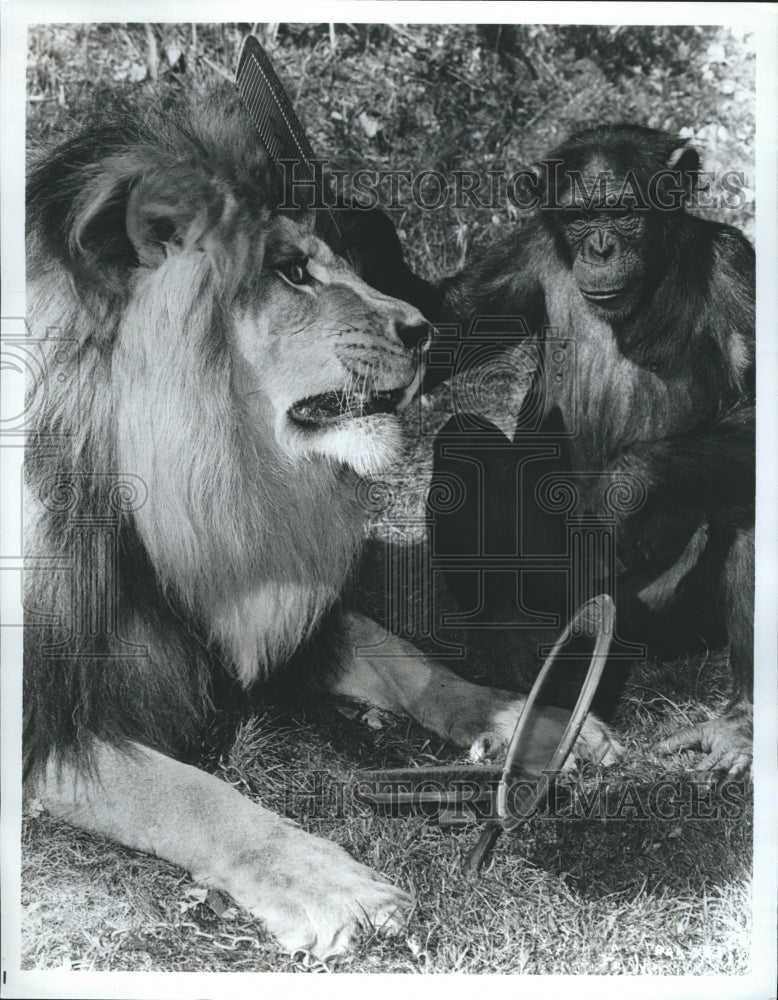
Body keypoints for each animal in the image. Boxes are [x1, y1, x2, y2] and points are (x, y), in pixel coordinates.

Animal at [24, 88, 616, 960]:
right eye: (291, 270)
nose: (425, 329)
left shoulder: (283, 611)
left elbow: (410, 661)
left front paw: (530, 722)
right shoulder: (44, 717)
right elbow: (185, 791)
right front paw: (331, 885)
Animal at [346, 125, 752, 776]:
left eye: (624, 211)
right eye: (581, 216)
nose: (602, 248)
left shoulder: (738, 270)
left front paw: (628, 485)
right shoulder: (525, 256)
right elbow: (441, 336)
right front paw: (353, 224)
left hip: (663, 617)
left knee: (743, 497)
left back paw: (739, 725)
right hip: (557, 590)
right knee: (465, 441)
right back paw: (516, 649)